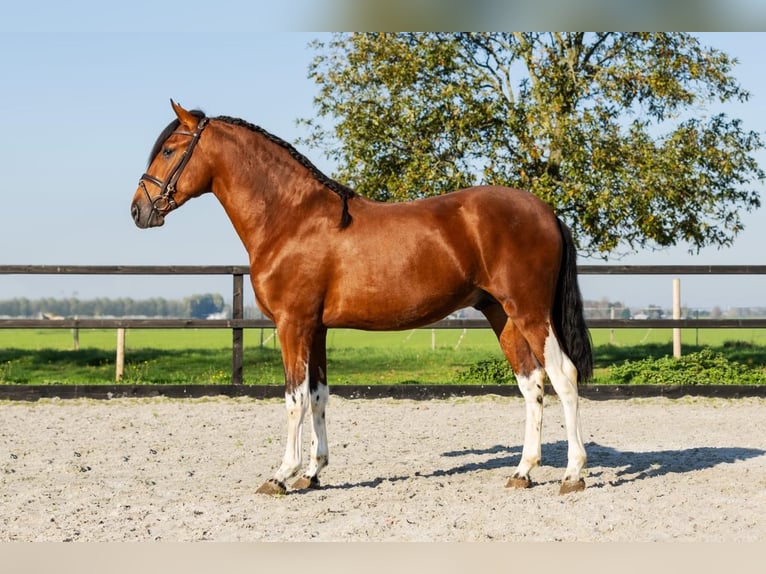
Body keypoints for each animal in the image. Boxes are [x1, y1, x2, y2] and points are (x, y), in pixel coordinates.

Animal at [132, 101, 596, 498]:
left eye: (170, 150)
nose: (139, 209)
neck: (291, 218)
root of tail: (547, 212)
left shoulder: (292, 325)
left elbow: (294, 399)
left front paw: (282, 475)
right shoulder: (315, 329)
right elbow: (318, 396)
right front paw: (313, 472)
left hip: (530, 312)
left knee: (563, 376)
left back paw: (573, 475)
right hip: (502, 314)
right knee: (531, 383)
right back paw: (523, 471)